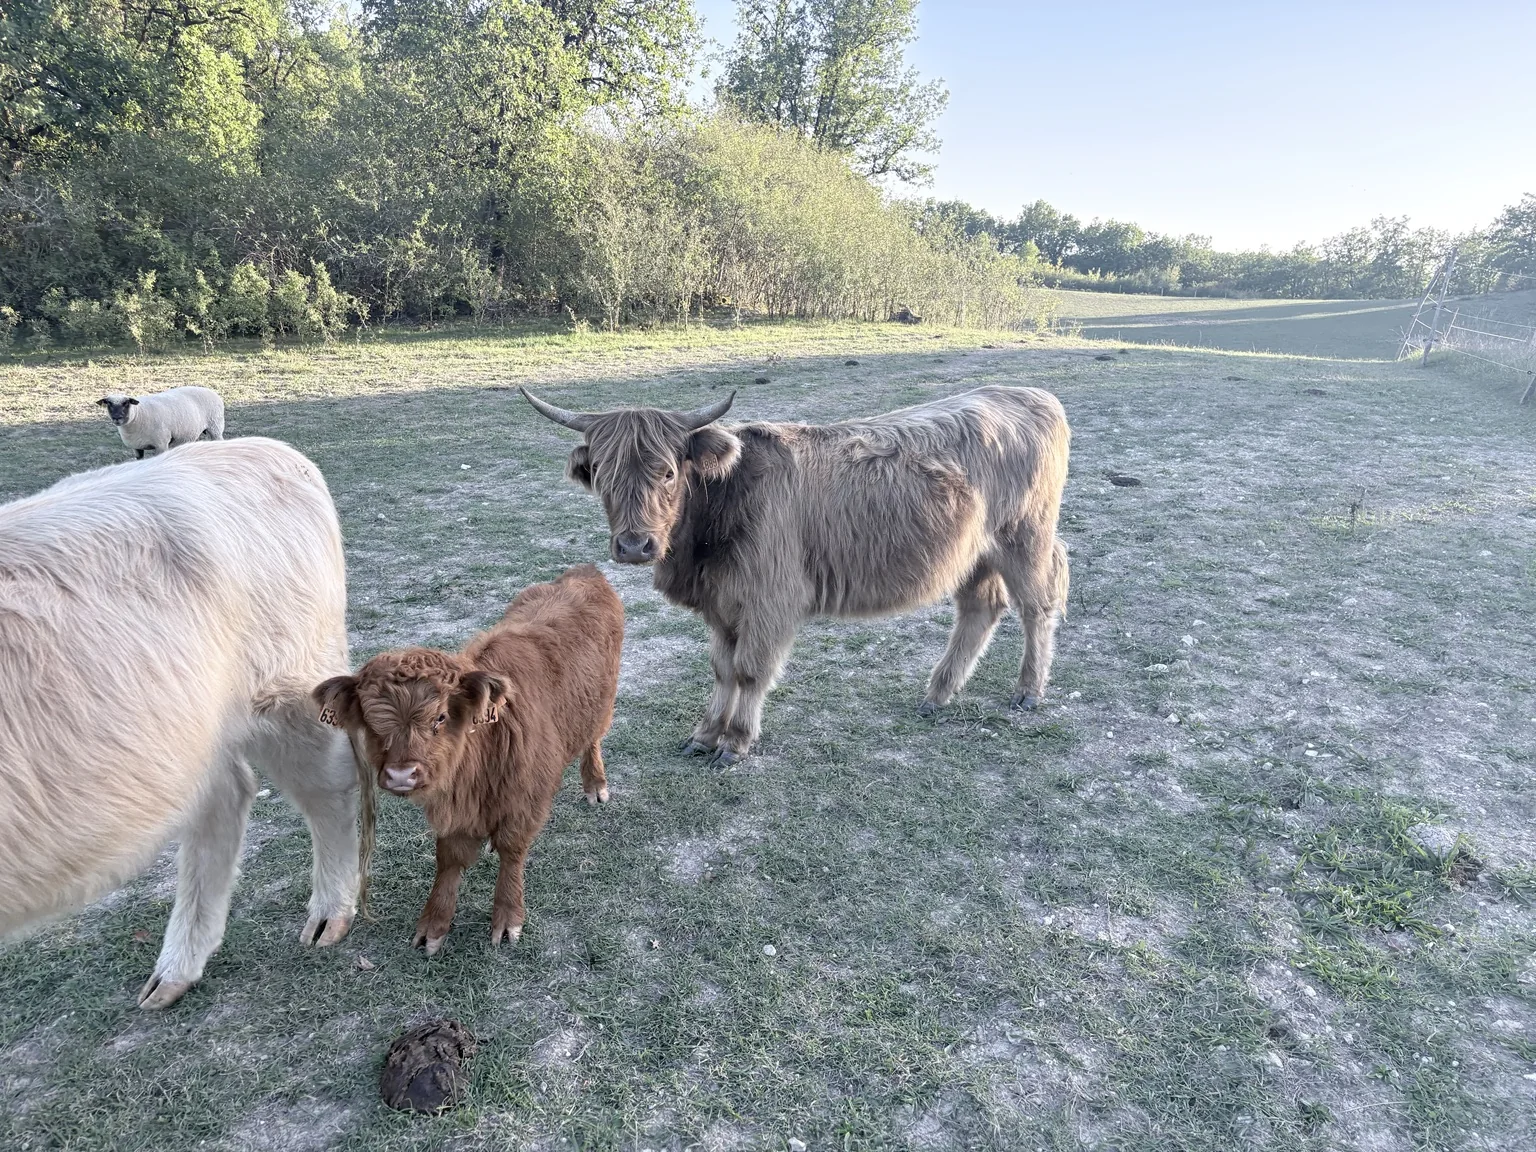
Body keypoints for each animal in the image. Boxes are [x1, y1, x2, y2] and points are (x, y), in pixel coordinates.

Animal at [0, 438, 369, 1009]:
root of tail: (275, 451)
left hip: (289, 692)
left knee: (325, 788)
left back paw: (328, 915)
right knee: (226, 796)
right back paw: (176, 969)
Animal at [312, 564, 623, 955]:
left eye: (441, 717)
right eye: (370, 721)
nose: (400, 775)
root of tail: (585, 572)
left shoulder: (525, 799)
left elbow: (512, 851)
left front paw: (507, 918)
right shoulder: (455, 814)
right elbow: (449, 858)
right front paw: (434, 925)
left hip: (602, 705)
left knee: (592, 739)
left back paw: (595, 785)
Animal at [521, 384, 1071, 763]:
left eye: (669, 472)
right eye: (603, 475)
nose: (635, 546)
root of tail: (1030, 394)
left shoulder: (769, 599)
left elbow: (748, 669)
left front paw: (735, 742)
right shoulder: (722, 604)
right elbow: (721, 668)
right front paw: (704, 735)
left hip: (1025, 536)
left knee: (1038, 604)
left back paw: (1028, 690)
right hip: (975, 552)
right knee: (981, 607)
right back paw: (938, 694)